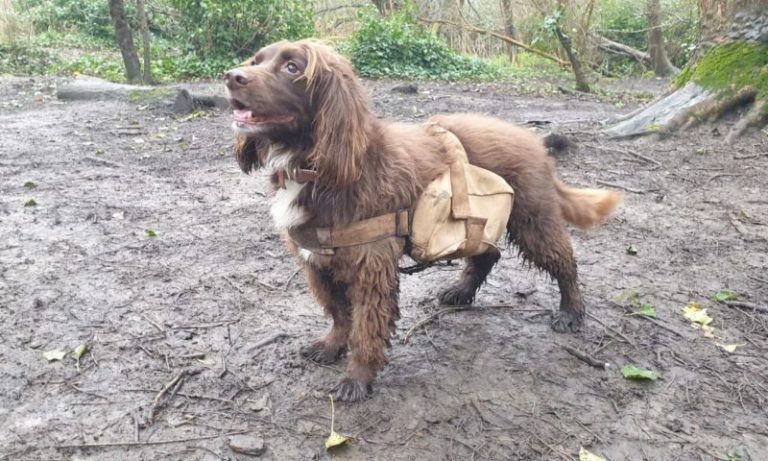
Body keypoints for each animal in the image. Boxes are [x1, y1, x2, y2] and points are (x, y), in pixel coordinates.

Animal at [224, 38, 624, 398]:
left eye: (292, 67)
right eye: (256, 59)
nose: (231, 76)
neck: (318, 167)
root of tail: (534, 141)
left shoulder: (371, 264)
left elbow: (365, 326)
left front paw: (357, 378)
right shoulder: (317, 260)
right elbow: (339, 314)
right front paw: (332, 345)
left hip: (533, 220)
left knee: (564, 262)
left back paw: (570, 312)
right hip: (479, 219)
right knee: (487, 253)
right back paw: (461, 291)